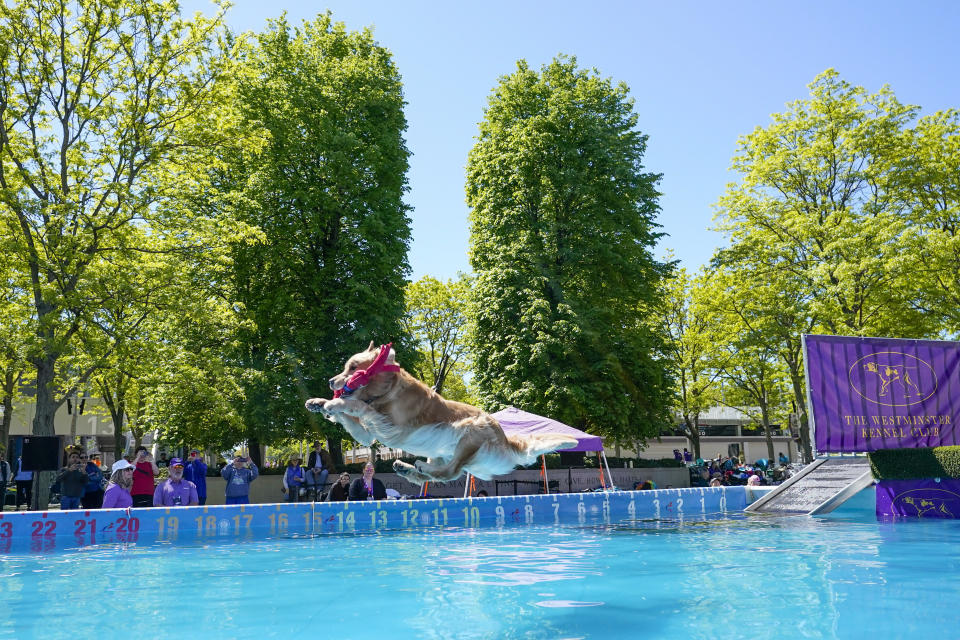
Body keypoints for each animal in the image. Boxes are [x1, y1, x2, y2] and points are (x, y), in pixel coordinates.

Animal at [306, 342, 576, 482]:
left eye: (352, 367)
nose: (330, 381)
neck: (386, 392)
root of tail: (507, 440)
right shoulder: (368, 435)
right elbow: (353, 416)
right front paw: (317, 402)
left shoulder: (392, 426)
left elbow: (357, 406)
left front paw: (332, 405)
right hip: (442, 452)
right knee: (440, 475)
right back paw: (406, 468)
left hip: (471, 432)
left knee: (450, 473)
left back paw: (417, 467)